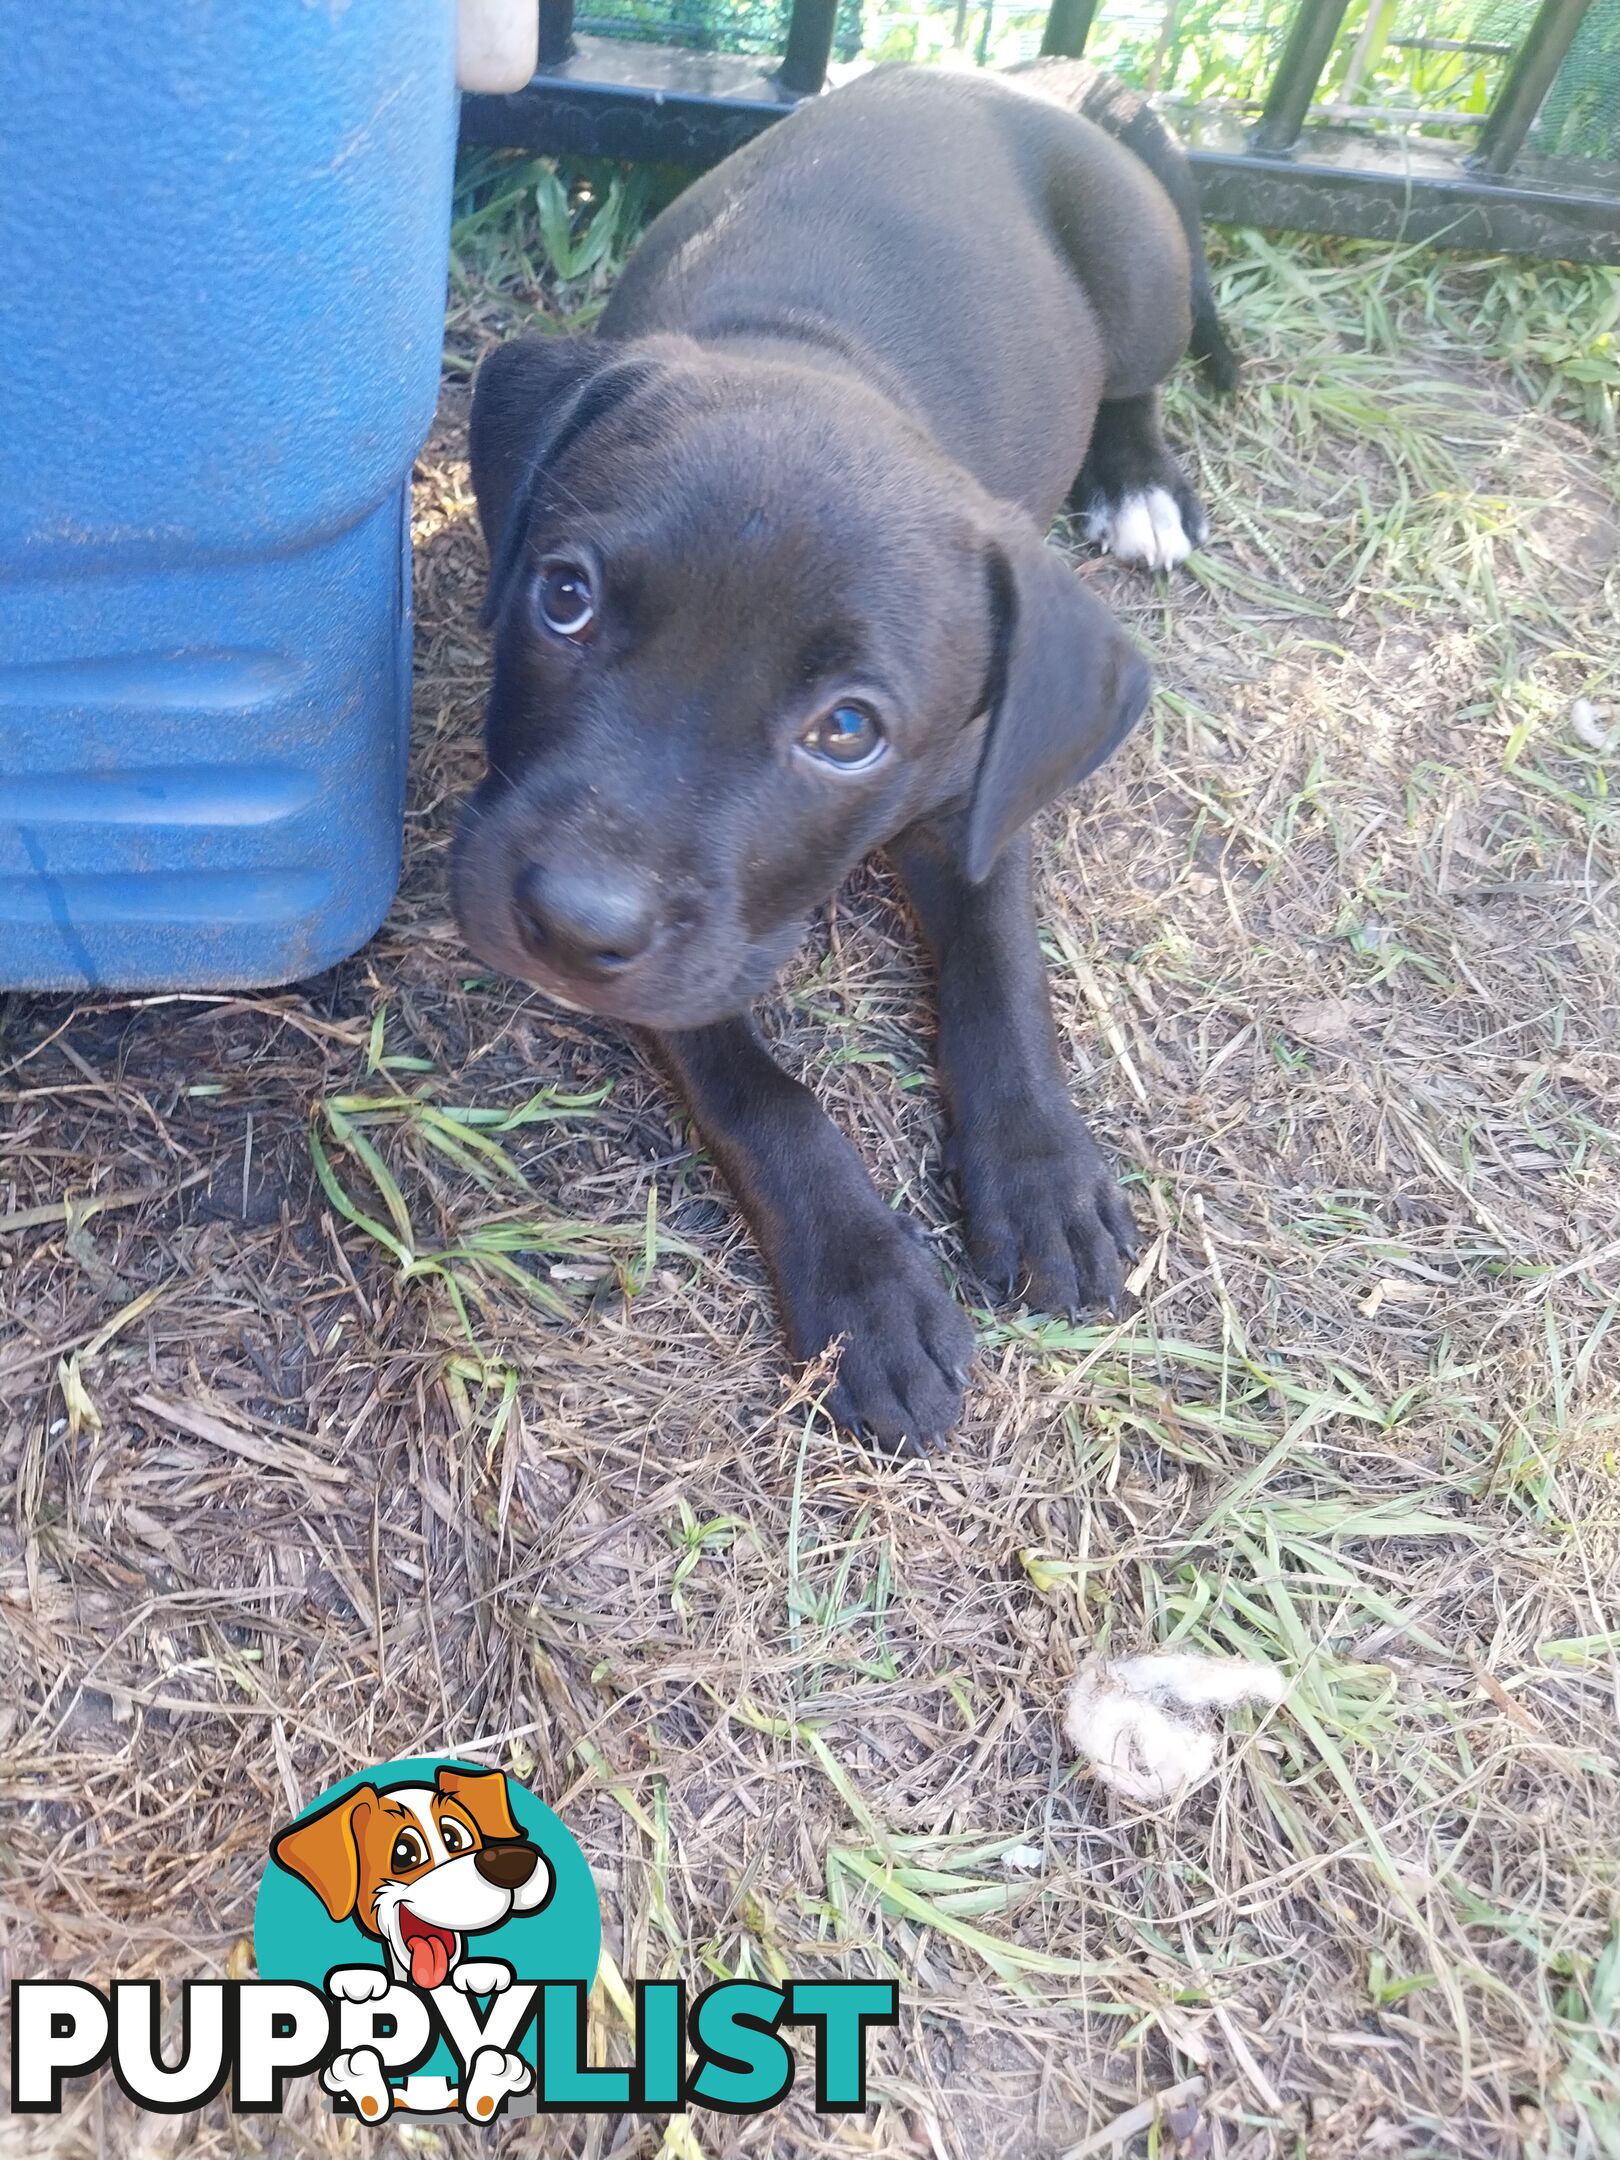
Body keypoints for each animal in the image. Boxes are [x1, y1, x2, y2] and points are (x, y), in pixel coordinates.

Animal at [457, 63, 1244, 1451]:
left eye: (847, 730)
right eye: (564, 598)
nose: (569, 923)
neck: (822, 359)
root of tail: (1030, 77)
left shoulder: (981, 799)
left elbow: (1001, 979)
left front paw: (1041, 1175)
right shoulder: (689, 960)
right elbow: (763, 1094)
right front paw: (868, 1283)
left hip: (1143, 276)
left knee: (1139, 380)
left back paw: (1141, 478)